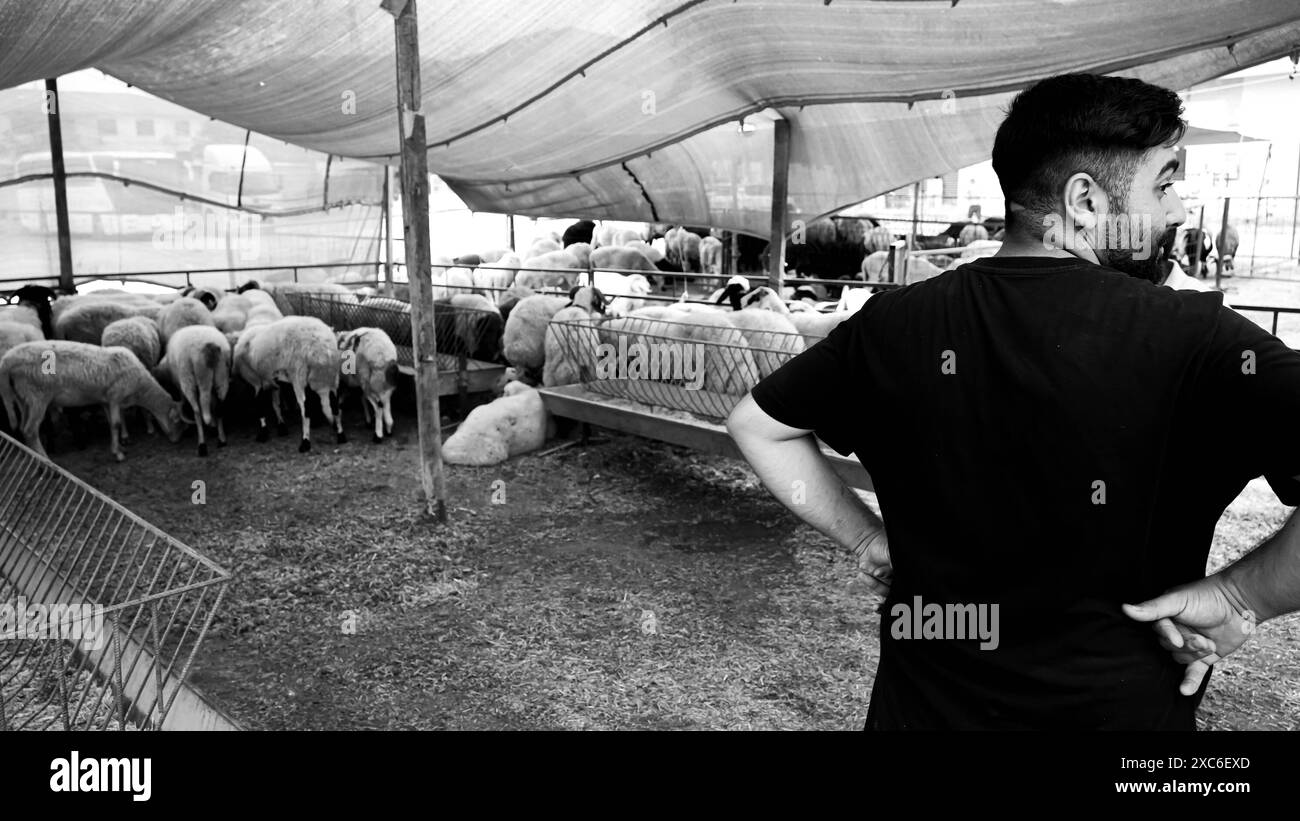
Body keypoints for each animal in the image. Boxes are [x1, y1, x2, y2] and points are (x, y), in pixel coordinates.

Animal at [0, 340, 185, 462]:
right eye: (178, 422)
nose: (176, 440)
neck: (140, 388)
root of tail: (7, 360)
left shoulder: (105, 400)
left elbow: (111, 423)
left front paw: (119, 447)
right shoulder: (115, 397)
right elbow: (116, 424)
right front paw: (118, 454)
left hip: (23, 398)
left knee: (24, 428)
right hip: (37, 395)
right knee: (30, 431)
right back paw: (47, 463)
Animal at [156, 326, 232, 454]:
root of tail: (209, 346)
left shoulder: (181, 385)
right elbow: (212, 403)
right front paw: (213, 426)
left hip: (189, 378)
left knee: (197, 410)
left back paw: (202, 445)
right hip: (221, 375)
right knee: (219, 407)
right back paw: (222, 440)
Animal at [233, 315, 343, 454]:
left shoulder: (257, 381)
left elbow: (260, 405)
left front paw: (263, 433)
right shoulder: (272, 382)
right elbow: (276, 404)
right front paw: (281, 427)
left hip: (299, 376)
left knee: (306, 409)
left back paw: (305, 442)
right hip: (332, 378)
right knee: (334, 405)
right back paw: (341, 436)